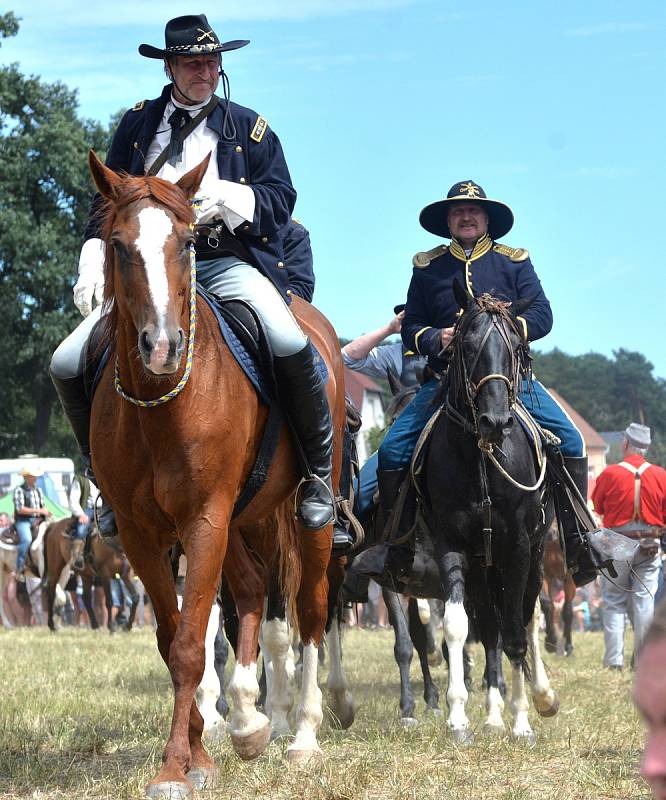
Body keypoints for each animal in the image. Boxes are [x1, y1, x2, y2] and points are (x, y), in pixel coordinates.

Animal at [87, 152, 342, 800]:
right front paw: (201, 752)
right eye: (118, 245)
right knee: (251, 590)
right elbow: (175, 634)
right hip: (240, 519)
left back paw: (303, 736)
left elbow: (187, 646)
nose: (161, 347)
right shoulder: (143, 533)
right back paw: (251, 721)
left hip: (305, 520)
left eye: (186, 242)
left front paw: (177, 766)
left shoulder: (205, 518)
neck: (160, 404)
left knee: (309, 609)